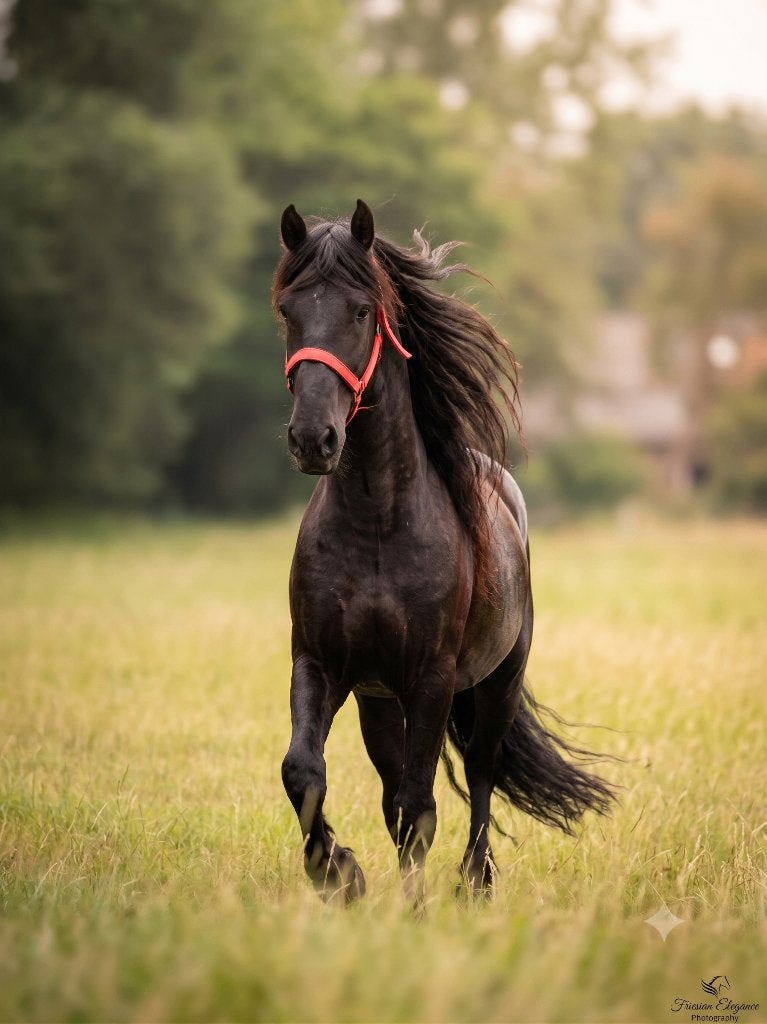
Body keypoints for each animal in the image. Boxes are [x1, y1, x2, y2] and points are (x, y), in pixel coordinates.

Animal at [273, 199, 615, 905]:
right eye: (289, 311)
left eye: (362, 311)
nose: (313, 440)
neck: (377, 526)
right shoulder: (321, 663)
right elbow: (304, 771)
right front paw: (338, 873)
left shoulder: (430, 678)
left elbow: (420, 807)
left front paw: (414, 907)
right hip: (379, 700)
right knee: (392, 787)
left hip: (497, 680)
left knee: (480, 771)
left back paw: (477, 879)